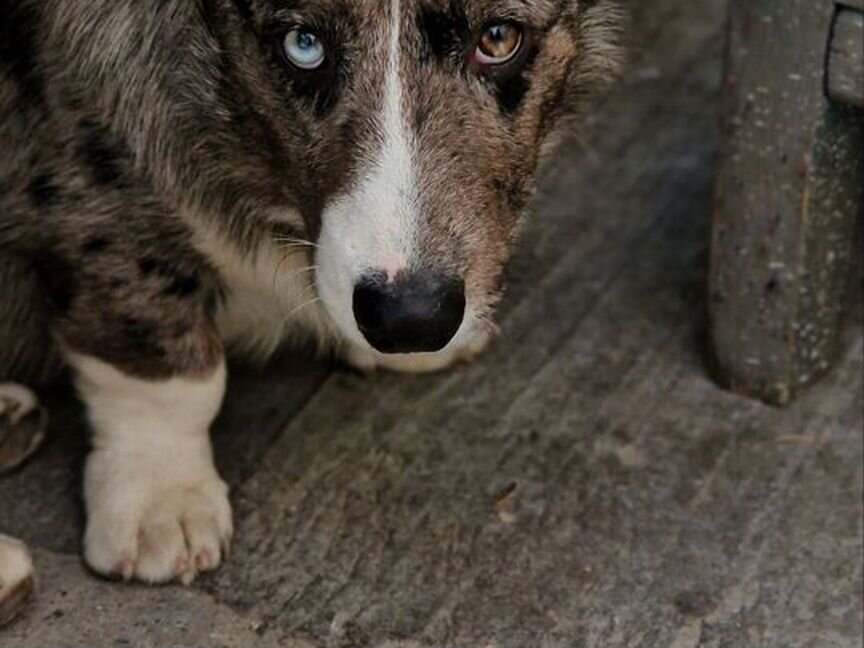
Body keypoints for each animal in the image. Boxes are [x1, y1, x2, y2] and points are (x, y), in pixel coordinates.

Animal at [0, 0, 620, 620]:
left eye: (497, 39)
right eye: (303, 45)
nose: (412, 319)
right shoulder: (101, 180)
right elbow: (165, 369)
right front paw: (162, 498)